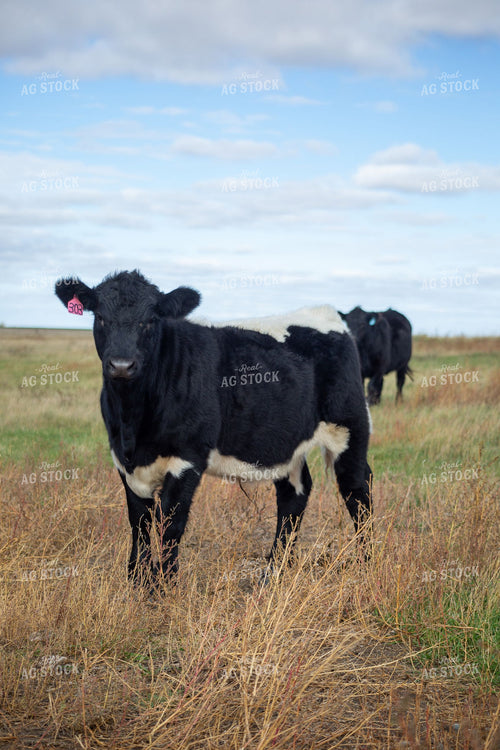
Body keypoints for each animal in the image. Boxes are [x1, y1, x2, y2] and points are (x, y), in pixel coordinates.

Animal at [55, 271, 372, 588]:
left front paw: (164, 587)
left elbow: (171, 522)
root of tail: (327, 314)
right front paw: (138, 581)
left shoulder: (187, 458)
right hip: (285, 443)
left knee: (357, 489)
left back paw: (365, 564)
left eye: (151, 319)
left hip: (350, 425)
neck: (132, 423)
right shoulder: (124, 461)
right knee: (294, 494)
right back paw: (274, 571)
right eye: (100, 317)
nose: (122, 365)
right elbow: (139, 522)